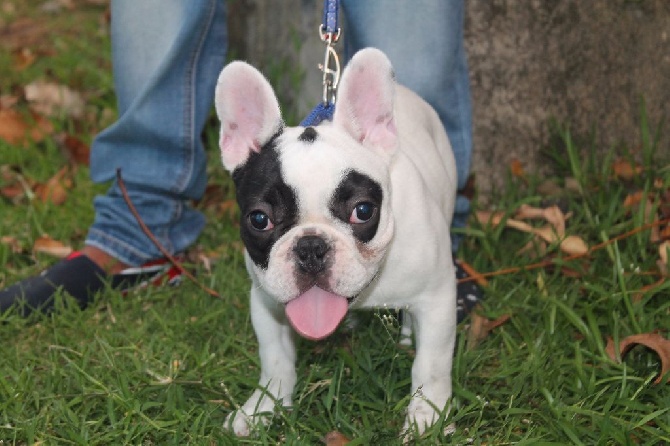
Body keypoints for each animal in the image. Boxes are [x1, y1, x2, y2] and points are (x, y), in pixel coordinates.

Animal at [218, 48, 460, 436]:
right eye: (259, 219)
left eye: (362, 210)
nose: (311, 247)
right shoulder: (266, 302)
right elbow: (275, 359)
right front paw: (262, 408)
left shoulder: (437, 296)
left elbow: (431, 365)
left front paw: (428, 419)